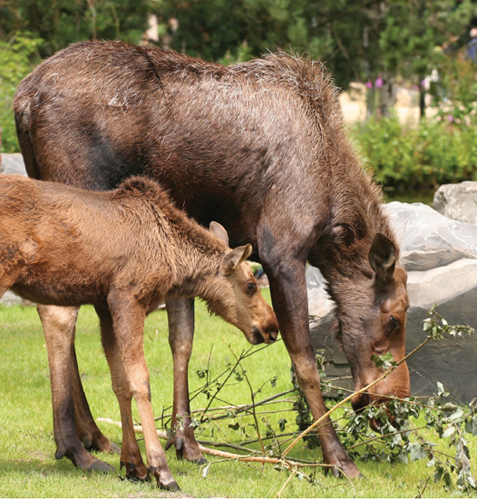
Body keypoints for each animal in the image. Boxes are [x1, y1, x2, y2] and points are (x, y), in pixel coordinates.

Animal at [0, 174, 278, 490]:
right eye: (251, 285)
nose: (272, 327)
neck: (173, 259)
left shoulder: (105, 305)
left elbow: (120, 383)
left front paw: (134, 464)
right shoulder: (128, 297)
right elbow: (140, 381)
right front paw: (160, 469)